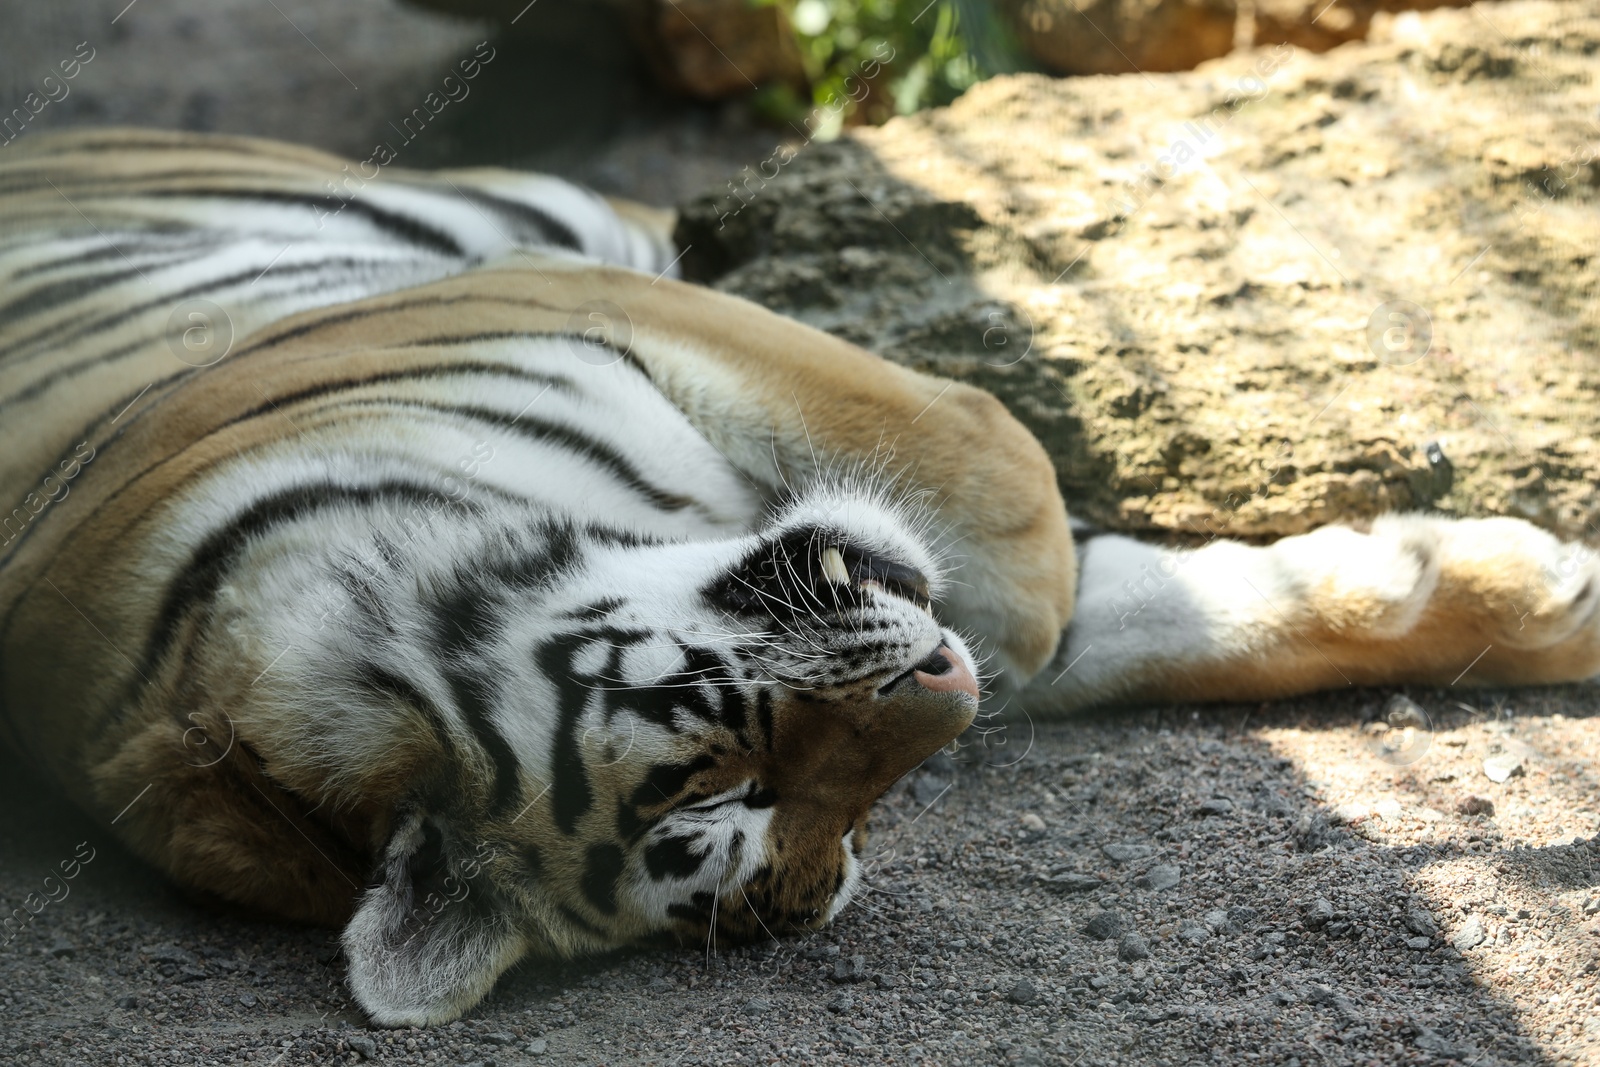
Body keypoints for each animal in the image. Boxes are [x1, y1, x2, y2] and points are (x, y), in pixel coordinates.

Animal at [2, 128, 1597, 1028]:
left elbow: (1014, 506)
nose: (944, 696)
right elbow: (1087, 603)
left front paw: (1548, 589)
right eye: (770, 804)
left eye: (722, 765)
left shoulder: (594, 301)